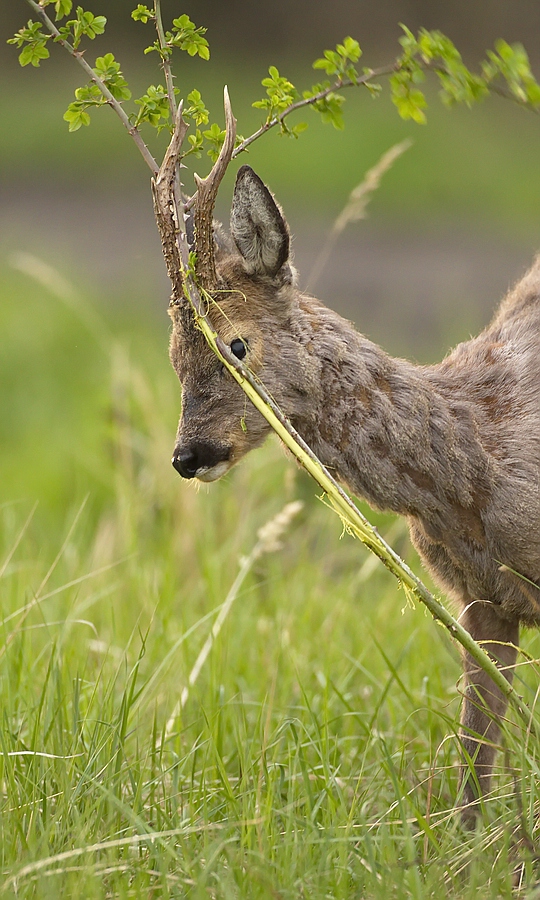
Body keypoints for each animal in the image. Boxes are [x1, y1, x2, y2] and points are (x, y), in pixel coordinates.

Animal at [169, 162, 540, 824]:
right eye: (173, 357)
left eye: (236, 343)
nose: (188, 455)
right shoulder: (481, 601)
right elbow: (475, 759)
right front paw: (467, 848)